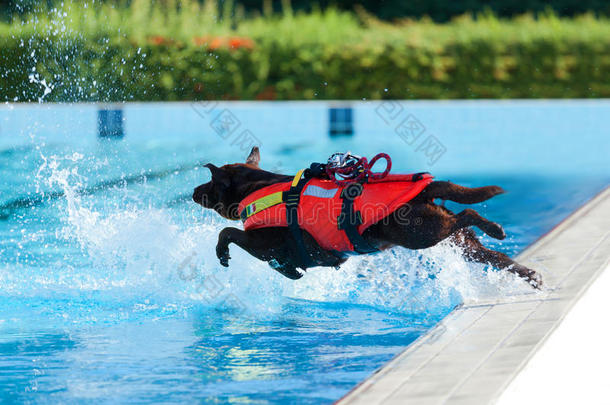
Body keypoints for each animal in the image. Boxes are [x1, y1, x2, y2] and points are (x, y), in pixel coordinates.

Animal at [192, 147, 540, 288]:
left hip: (421, 234)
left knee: (468, 213)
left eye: (210, 182)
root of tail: (424, 189)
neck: (258, 188)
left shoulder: (267, 244)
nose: (193, 191)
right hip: (460, 244)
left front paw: (223, 254)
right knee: (495, 255)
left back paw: (495, 228)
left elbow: (229, 233)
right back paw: (530, 275)